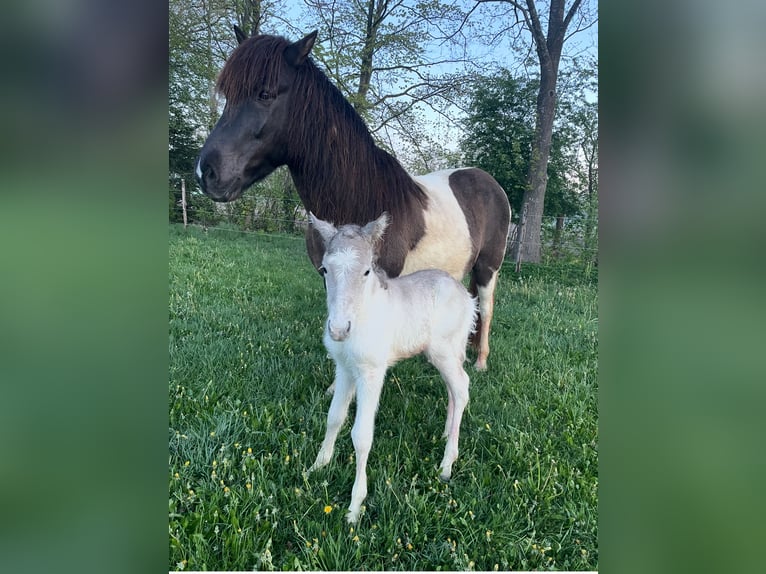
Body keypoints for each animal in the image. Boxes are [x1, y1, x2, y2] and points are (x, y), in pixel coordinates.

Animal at [196, 28, 511, 370]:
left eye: (264, 94)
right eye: (227, 94)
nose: (205, 172)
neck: (357, 196)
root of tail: (489, 182)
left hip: (488, 268)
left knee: (486, 308)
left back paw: (480, 362)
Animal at [306, 212, 477, 523]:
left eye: (366, 272)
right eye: (324, 270)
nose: (338, 330)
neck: (363, 313)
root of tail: (466, 296)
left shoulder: (371, 372)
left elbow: (361, 435)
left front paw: (354, 507)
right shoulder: (344, 369)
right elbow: (334, 417)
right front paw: (317, 466)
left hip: (444, 351)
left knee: (461, 387)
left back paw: (447, 464)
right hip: (445, 354)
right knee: (454, 387)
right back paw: (447, 433)